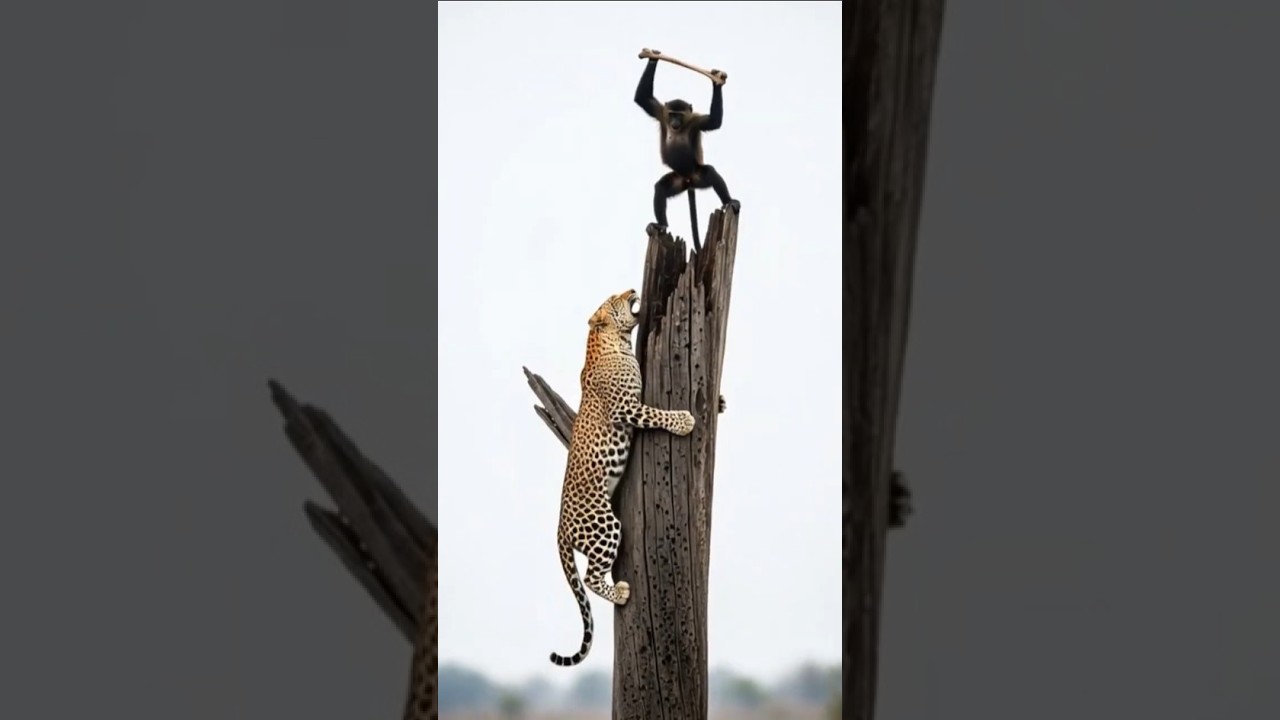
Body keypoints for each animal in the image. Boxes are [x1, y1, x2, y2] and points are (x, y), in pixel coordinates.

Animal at [549, 288, 697, 667]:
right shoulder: (627, 407)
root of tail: (560, 528)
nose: (631, 290)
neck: (614, 342)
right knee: (589, 577)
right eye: (614, 298)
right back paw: (620, 592)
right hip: (605, 528)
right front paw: (683, 421)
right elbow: (656, 413)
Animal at [634, 52, 740, 237]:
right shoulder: (661, 113)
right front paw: (654, 56)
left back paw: (729, 201)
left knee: (711, 172)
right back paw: (661, 225)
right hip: (677, 181)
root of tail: (689, 181)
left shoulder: (696, 121)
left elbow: (714, 122)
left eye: (680, 115)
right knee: (660, 188)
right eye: (672, 114)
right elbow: (643, 99)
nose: (675, 122)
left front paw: (716, 81)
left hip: (698, 175)